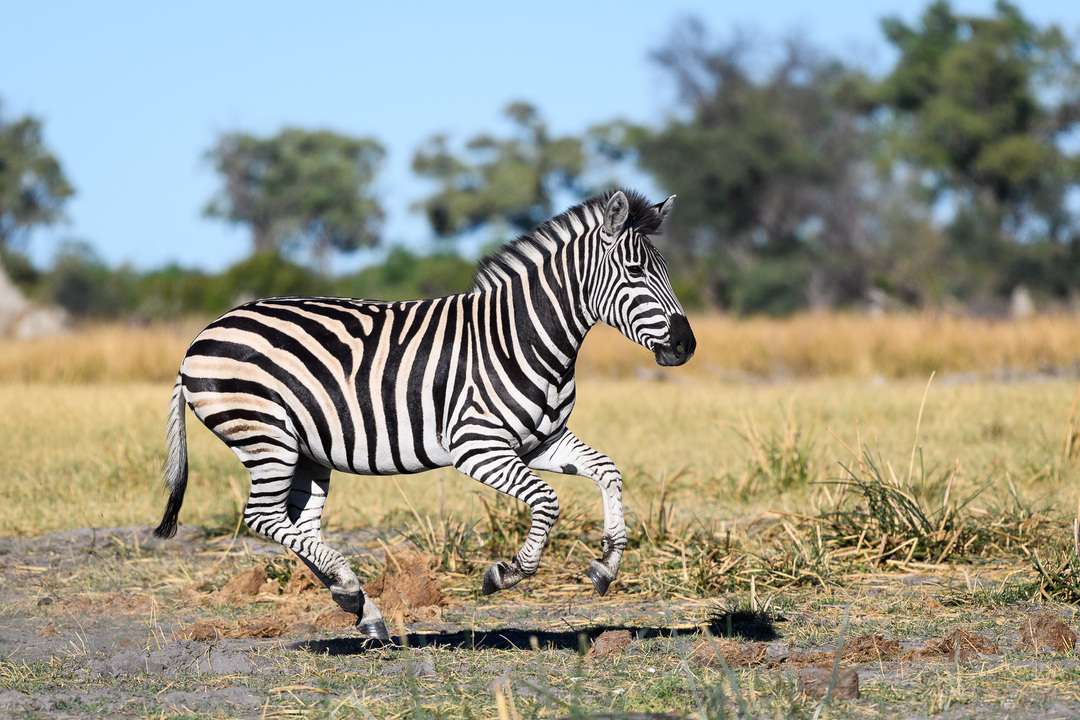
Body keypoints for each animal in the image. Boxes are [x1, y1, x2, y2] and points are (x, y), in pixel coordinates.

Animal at [154, 188, 691, 639]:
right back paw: (351, 590)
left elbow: (608, 470)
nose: (686, 346)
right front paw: (507, 573)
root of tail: (201, 338)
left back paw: (356, 602)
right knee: (263, 517)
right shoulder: (478, 447)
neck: (524, 336)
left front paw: (606, 566)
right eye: (636, 273)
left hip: (306, 451)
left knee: (297, 526)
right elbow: (546, 500)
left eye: (665, 270)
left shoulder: (542, 439)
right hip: (266, 436)